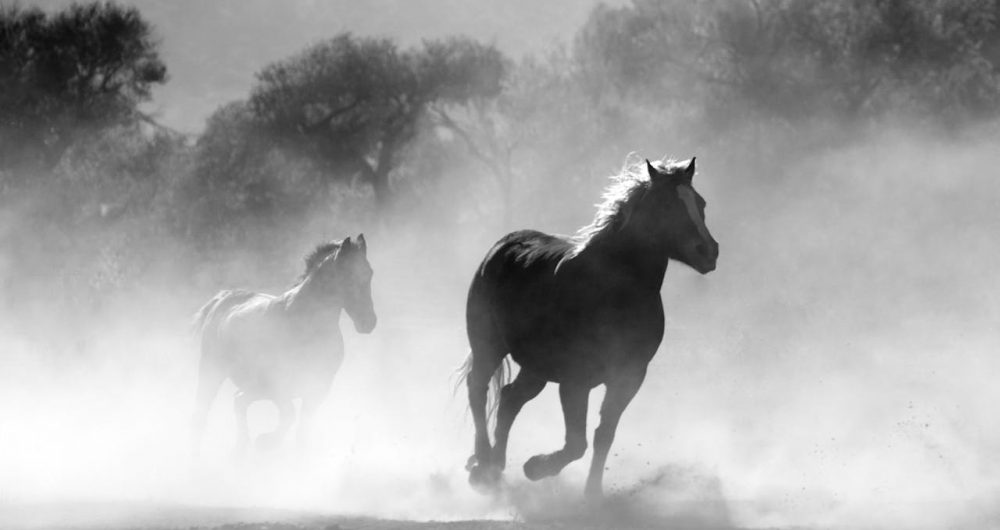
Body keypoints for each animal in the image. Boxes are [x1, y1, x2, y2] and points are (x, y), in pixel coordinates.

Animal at [188, 235, 376, 454]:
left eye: (369, 273)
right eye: (348, 275)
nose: (368, 322)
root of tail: (223, 298)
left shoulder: (317, 389)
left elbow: (302, 431)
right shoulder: (279, 385)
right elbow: (289, 415)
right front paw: (265, 441)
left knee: (239, 401)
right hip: (212, 371)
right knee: (203, 412)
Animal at [460, 155, 720, 498]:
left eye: (700, 203)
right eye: (666, 204)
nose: (708, 251)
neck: (614, 291)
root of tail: (502, 246)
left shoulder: (629, 377)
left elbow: (603, 435)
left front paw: (592, 494)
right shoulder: (576, 380)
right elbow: (576, 443)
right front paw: (536, 467)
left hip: (536, 367)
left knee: (509, 398)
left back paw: (495, 467)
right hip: (488, 346)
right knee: (478, 390)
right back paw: (483, 466)